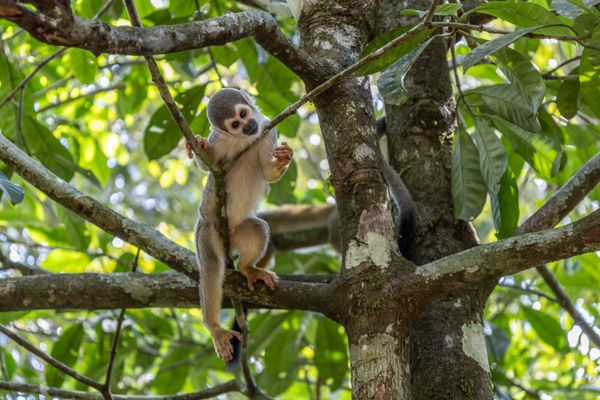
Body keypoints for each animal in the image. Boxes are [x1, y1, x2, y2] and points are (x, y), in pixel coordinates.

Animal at [185, 87, 292, 362]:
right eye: (235, 124)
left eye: (243, 114)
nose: (249, 126)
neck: (243, 141)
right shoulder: (221, 141)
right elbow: (208, 166)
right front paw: (198, 146)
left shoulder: (267, 130)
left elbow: (268, 173)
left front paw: (283, 160)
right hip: (206, 232)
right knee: (212, 266)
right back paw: (214, 326)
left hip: (237, 233)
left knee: (258, 229)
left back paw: (248, 268)